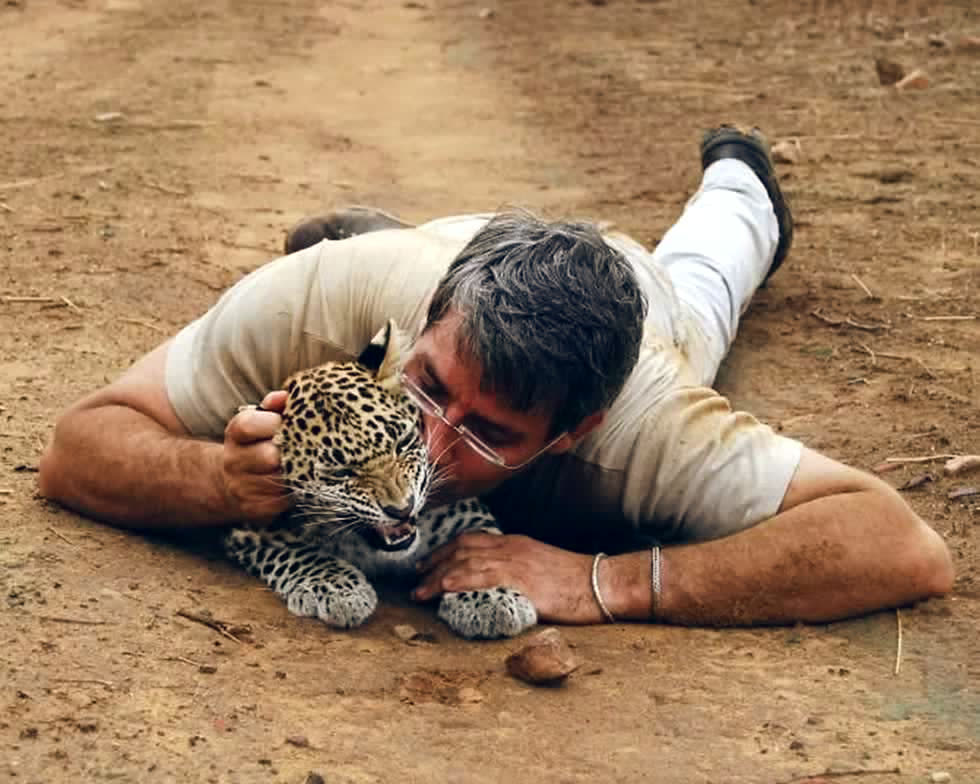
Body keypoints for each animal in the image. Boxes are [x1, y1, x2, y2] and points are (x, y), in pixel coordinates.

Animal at [223, 320, 538, 640]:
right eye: (341, 473)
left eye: (403, 443)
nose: (402, 509)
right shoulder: (253, 528)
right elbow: (300, 554)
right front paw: (339, 589)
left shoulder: (459, 509)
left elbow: (480, 540)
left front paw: (488, 596)